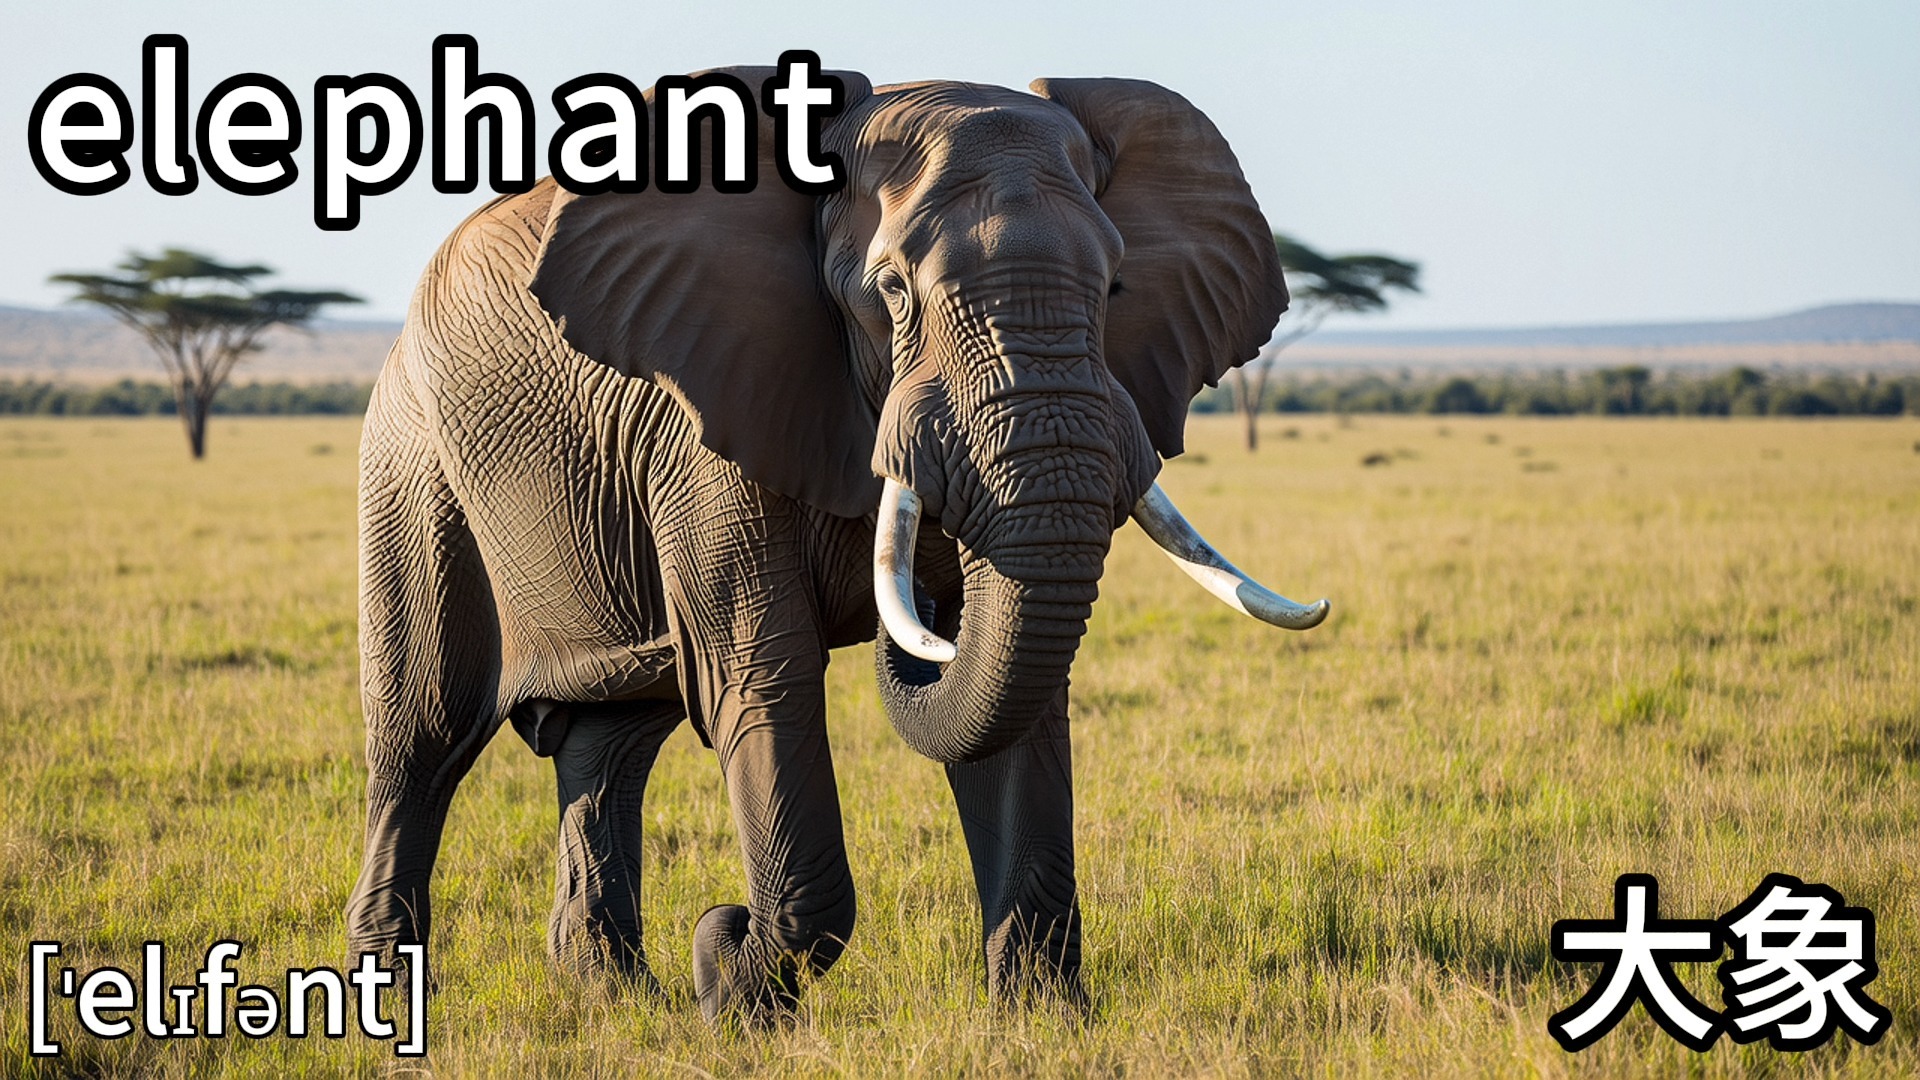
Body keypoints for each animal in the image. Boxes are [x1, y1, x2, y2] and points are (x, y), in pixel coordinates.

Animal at [346, 65, 1328, 1025]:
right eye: (891, 291)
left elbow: (1024, 699)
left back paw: (618, 1001)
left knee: (612, 742)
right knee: (421, 740)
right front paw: (735, 998)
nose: (718, 927)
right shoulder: (702, 424)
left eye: (1117, 285)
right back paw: (391, 1002)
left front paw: (1041, 1025)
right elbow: (762, 676)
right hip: (410, 461)